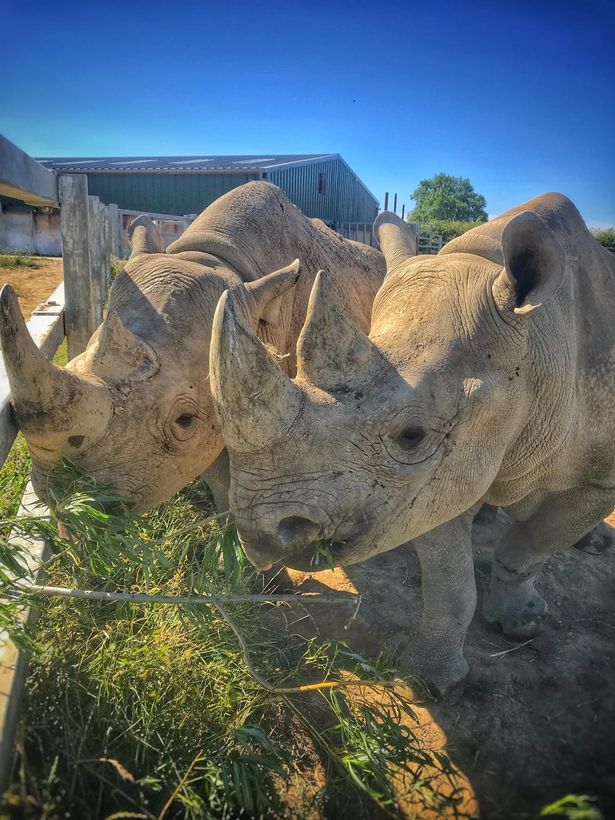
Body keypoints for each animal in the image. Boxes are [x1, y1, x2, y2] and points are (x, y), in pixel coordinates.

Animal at [210, 192, 615, 693]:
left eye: (411, 436)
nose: (259, 535)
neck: (537, 346)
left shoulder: (593, 480)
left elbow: (531, 547)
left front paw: (519, 624)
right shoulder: (435, 483)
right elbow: (449, 576)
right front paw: (434, 682)